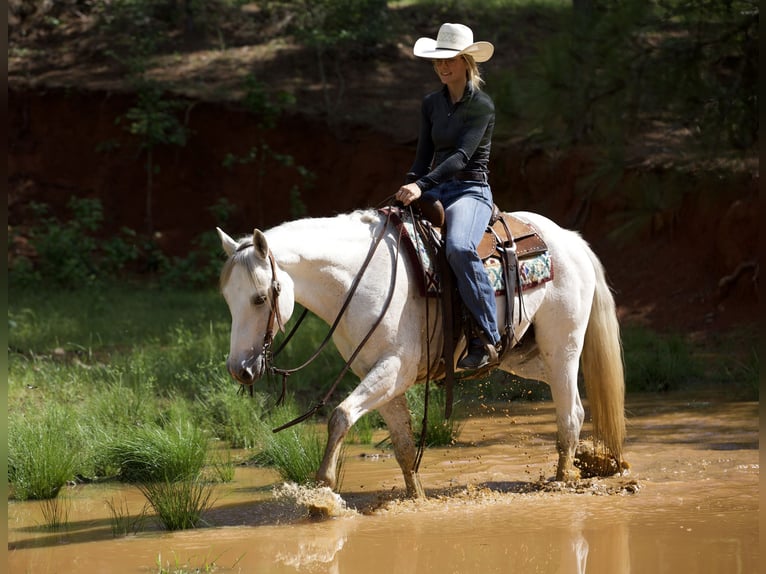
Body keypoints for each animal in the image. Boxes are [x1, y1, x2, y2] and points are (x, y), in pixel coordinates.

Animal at [219, 210, 628, 500]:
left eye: (259, 298)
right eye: (227, 298)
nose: (240, 369)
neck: (358, 280)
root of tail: (570, 240)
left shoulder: (394, 369)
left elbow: (340, 416)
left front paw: (322, 492)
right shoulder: (380, 377)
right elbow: (401, 444)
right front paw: (416, 497)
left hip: (562, 348)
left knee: (570, 416)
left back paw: (561, 481)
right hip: (525, 358)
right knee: (573, 404)